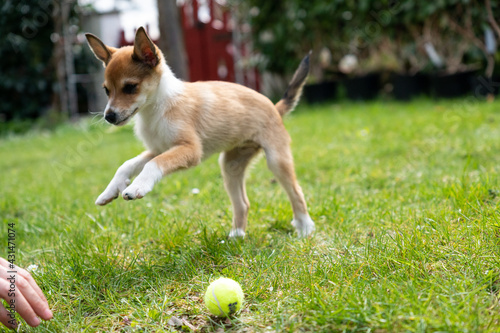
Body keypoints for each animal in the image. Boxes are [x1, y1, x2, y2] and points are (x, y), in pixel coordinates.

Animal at [84, 27, 314, 237]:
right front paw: (110, 190)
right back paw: (236, 236)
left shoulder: (189, 150)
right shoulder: (160, 149)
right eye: (106, 90)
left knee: (297, 192)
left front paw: (137, 187)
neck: (158, 107)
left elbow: (152, 165)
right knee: (243, 203)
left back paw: (305, 228)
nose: (109, 116)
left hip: (276, 160)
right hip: (231, 166)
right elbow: (127, 165)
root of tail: (275, 108)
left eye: (130, 87)